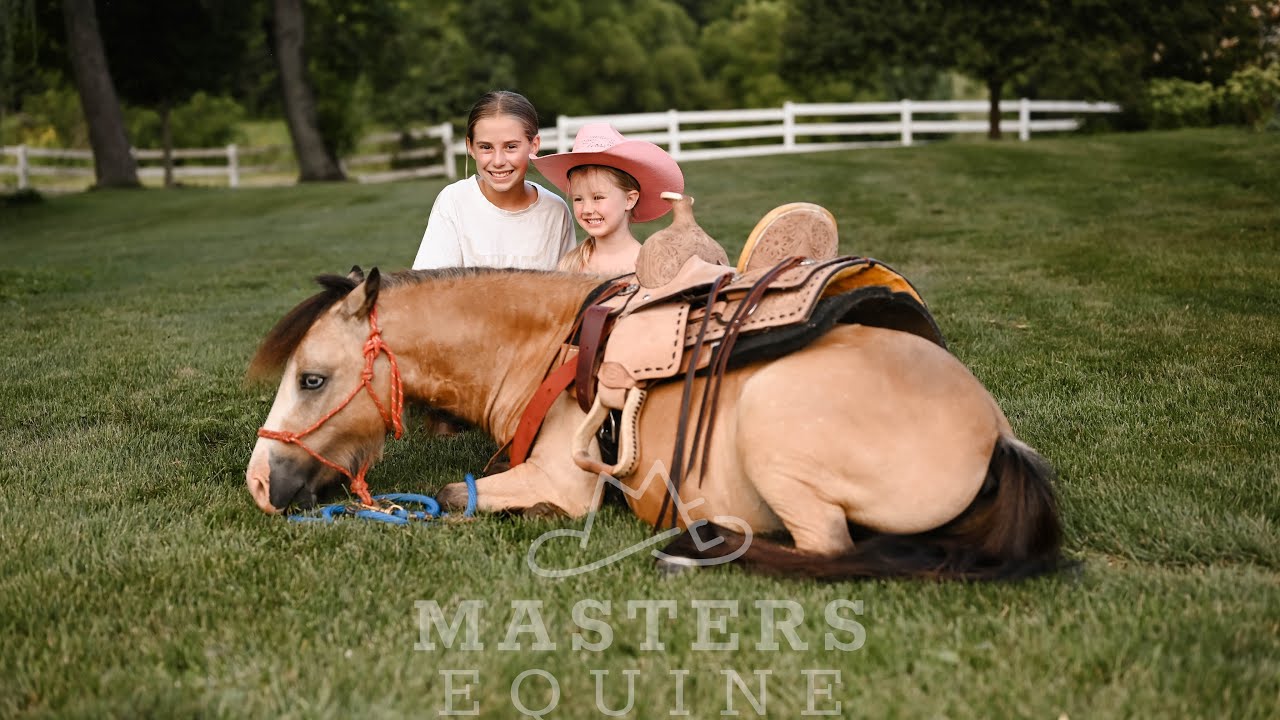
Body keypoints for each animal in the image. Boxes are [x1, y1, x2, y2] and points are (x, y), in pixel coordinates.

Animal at [245, 266, 1063, 581]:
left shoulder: (561, 483)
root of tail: (998, 434)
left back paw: (695, 548)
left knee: (829, 551)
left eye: (312, 378)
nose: (258, 485)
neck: (551, 346)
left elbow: (454, 496)